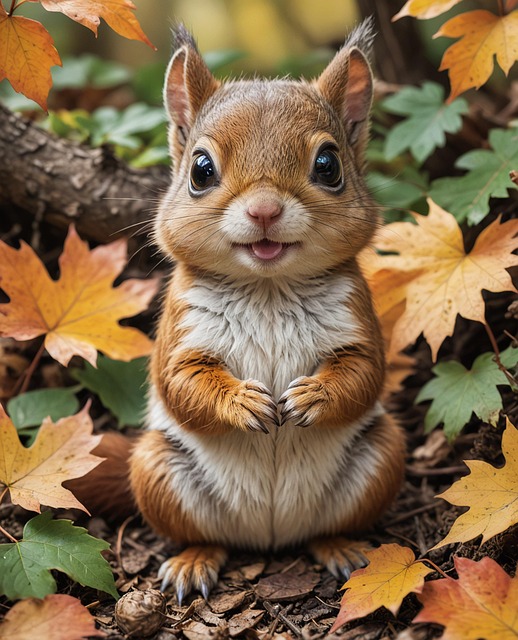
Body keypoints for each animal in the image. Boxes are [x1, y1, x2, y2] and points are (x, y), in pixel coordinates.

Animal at [71, 19, 405, 604]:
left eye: (329, 165)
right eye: (200, 170)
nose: (265, 210)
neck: (267, 288)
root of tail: (269, 537)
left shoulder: (357, 317)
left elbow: (364, 372)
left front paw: (314, 395)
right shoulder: (179, 330)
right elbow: (181, 382)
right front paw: (242, 403)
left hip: (379, 459)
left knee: (327, 528)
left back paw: (339, 547)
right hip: (159, 472)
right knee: (204, 536)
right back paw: (194, 561)